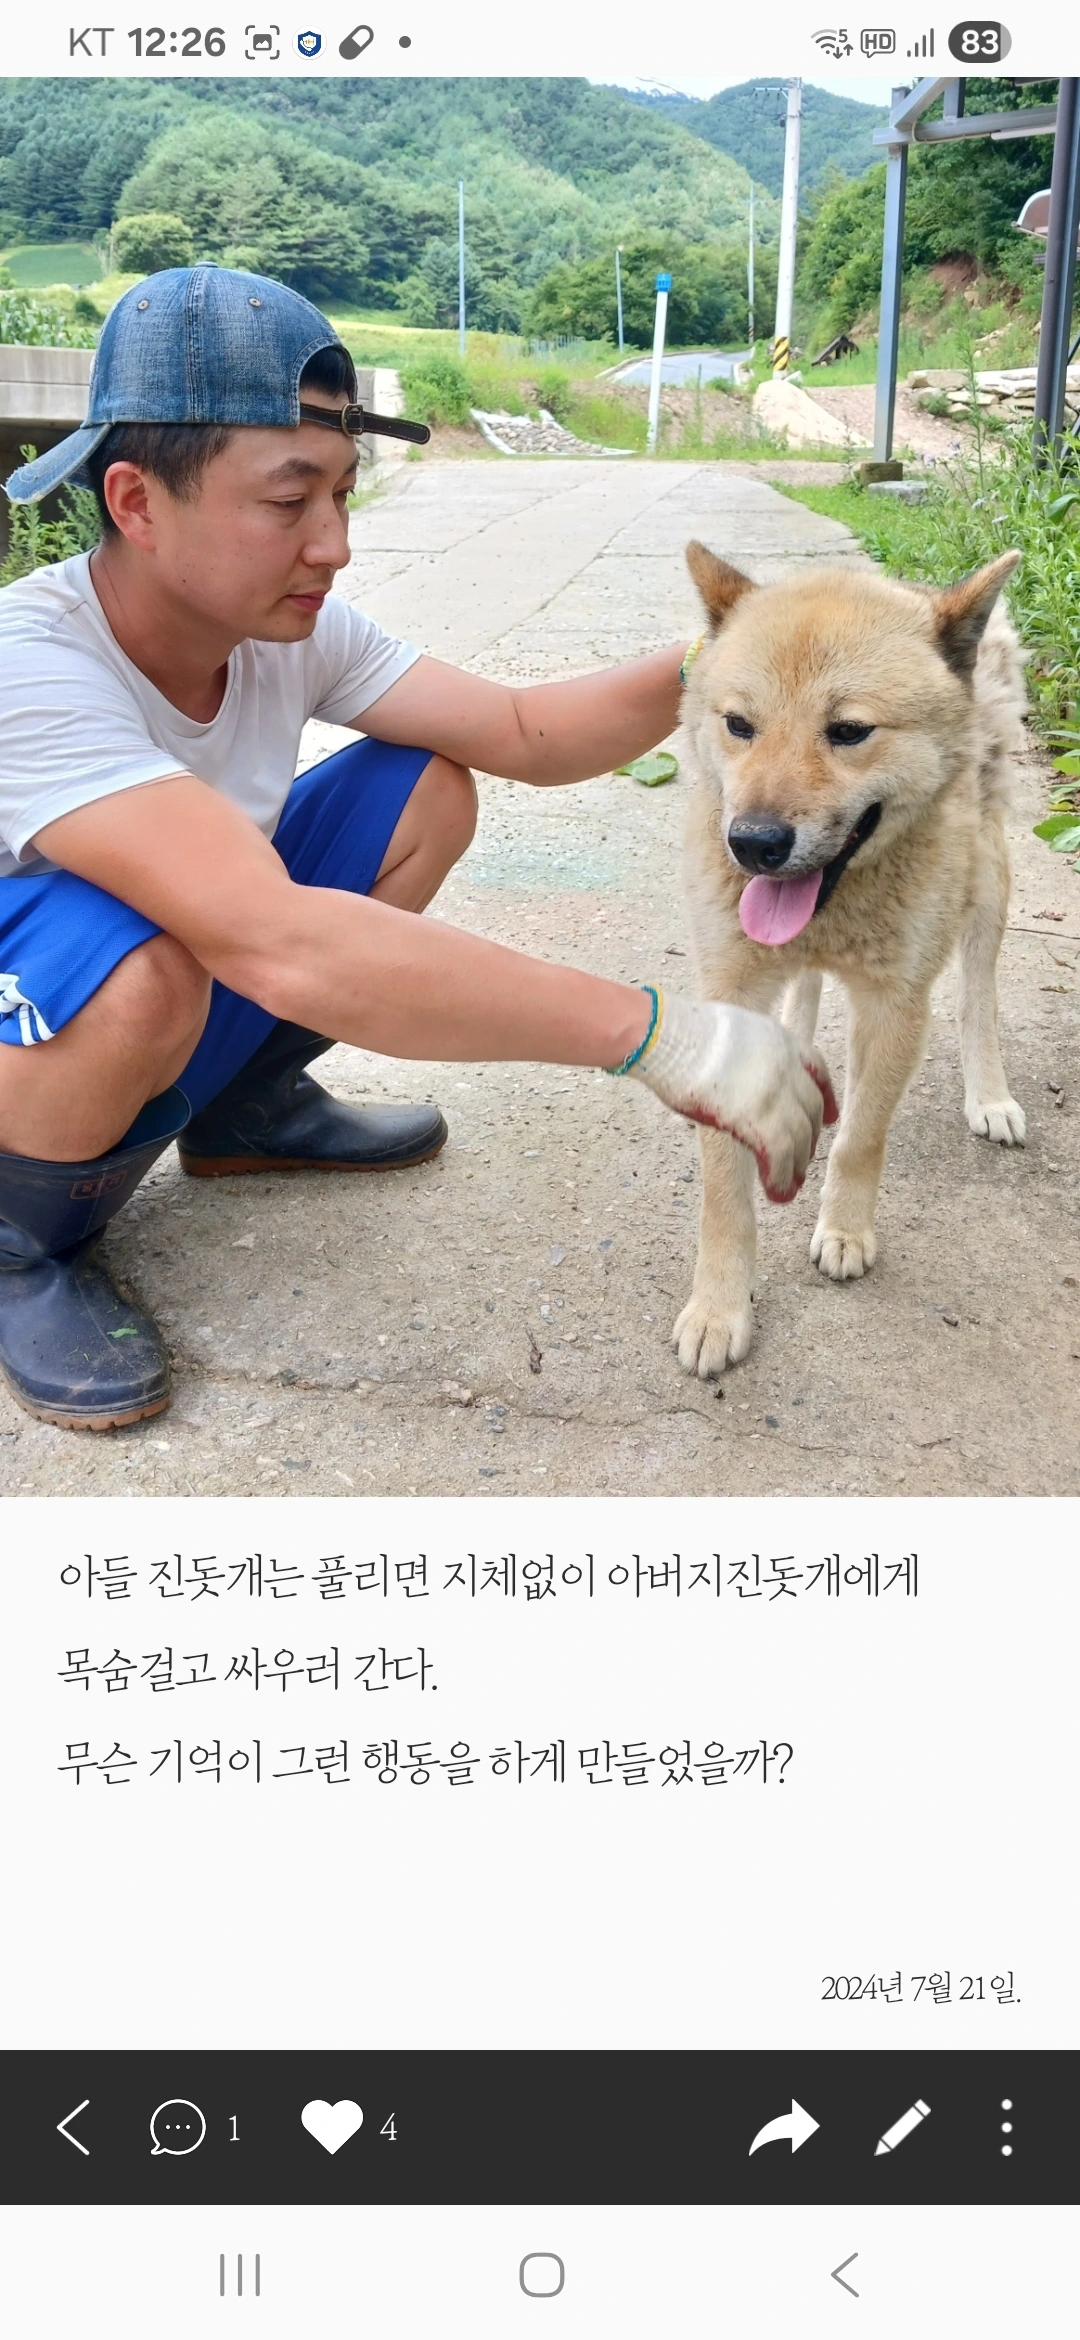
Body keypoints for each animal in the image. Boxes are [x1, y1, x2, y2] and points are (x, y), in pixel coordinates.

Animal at [674, 539, 1027, 1378]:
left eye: (848, 731)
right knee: (802, 988)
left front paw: (845, 1229)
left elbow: (863, 1135)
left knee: (978, 996)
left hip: (988, 886)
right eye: (739, 724)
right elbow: (722, 1187)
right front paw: (719, 1306)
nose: (754, 844)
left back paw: (989, 1092)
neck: (840, 903)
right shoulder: (731, 990)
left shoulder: (895, 1005)